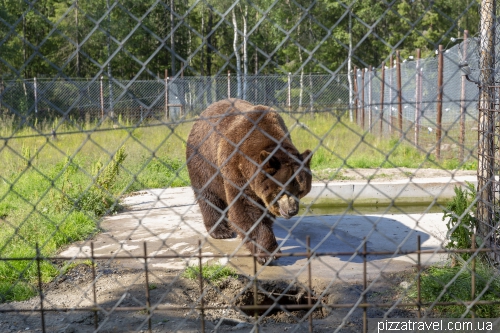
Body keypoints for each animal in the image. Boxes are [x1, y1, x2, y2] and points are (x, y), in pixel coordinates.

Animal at [187, 98, 312, 264]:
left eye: (301, 191)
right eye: (281, 191)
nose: (292, 210)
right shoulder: (236, 166)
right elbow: (246, 209)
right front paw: (267, 252)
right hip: (203, 160)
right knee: (208, 195)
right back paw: (220, 231)